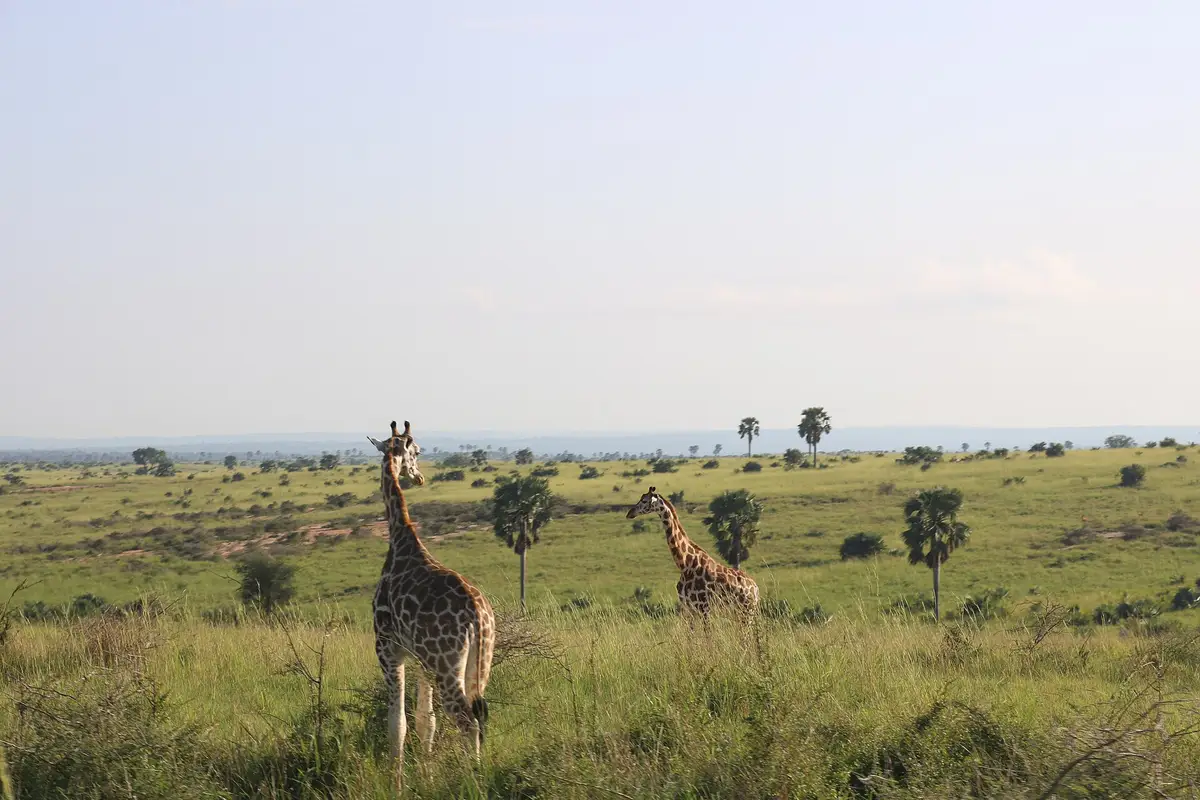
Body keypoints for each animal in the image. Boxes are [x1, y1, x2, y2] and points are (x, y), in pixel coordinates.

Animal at [368, 421, 495, 794]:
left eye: (418, 451)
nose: (419, 477)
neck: (401, 538)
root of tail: (478, 615)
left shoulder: (388, 648)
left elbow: (397, 723)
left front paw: (396, 785)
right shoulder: (421, 660)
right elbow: (427, 721)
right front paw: (425, 776)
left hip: (446, 664)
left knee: (468, 720)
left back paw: (473, 780)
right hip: (478, 663)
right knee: (479, 714)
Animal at [626, 486, 759, 621]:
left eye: (644, 500)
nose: (630, 513)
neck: (684, 564)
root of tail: (756, 589)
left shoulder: (703, 606)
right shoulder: (688, 605)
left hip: (747, 610)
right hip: (740, 611)